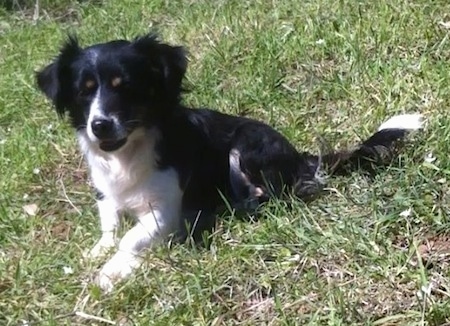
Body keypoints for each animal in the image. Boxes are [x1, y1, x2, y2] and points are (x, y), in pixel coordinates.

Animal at [37, 33, 424, 292]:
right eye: (84, 91)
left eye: (125, 87)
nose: (99, 125)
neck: (127, 153)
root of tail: (298, 155)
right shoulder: (106, 191)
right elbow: (110, 225)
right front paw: (97, 251)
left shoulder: (165, 211)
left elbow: (130, 239)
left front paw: (111, 271)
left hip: (245, 148)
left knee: (283, 193)